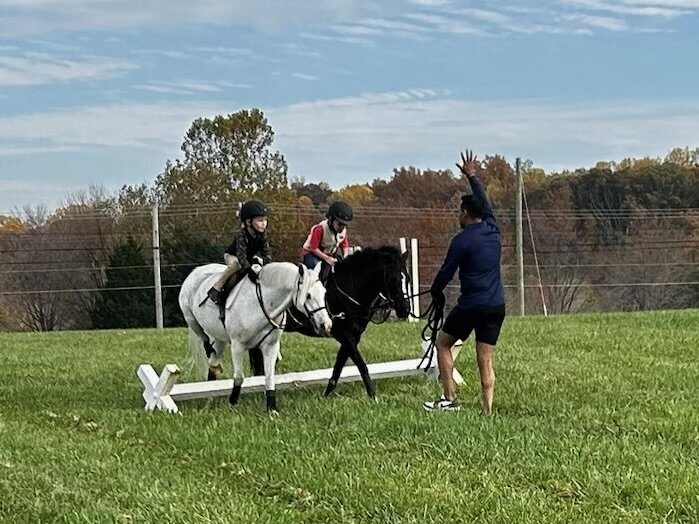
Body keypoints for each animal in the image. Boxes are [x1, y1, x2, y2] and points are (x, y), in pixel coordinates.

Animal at [180, 264, 334, 412]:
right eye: (308, 295)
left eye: (324, 293)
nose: (326, 325)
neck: (263, 304)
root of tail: (197, 270)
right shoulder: (237, 346)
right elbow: (239, 377)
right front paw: (232, 402)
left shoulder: (270, 347)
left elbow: (269, 377)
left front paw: (271, 408)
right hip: (190, 319)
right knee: (203, 336)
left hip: (219, 337)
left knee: (213, 361)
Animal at [280, 245, 412, 398]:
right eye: (392, 279)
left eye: (407, 279)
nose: (405, 309)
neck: (350, 288)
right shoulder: (345, 335)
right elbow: (361, 364)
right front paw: (373, 396)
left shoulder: (353, 336)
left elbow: (339, 366)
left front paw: (326, 395)